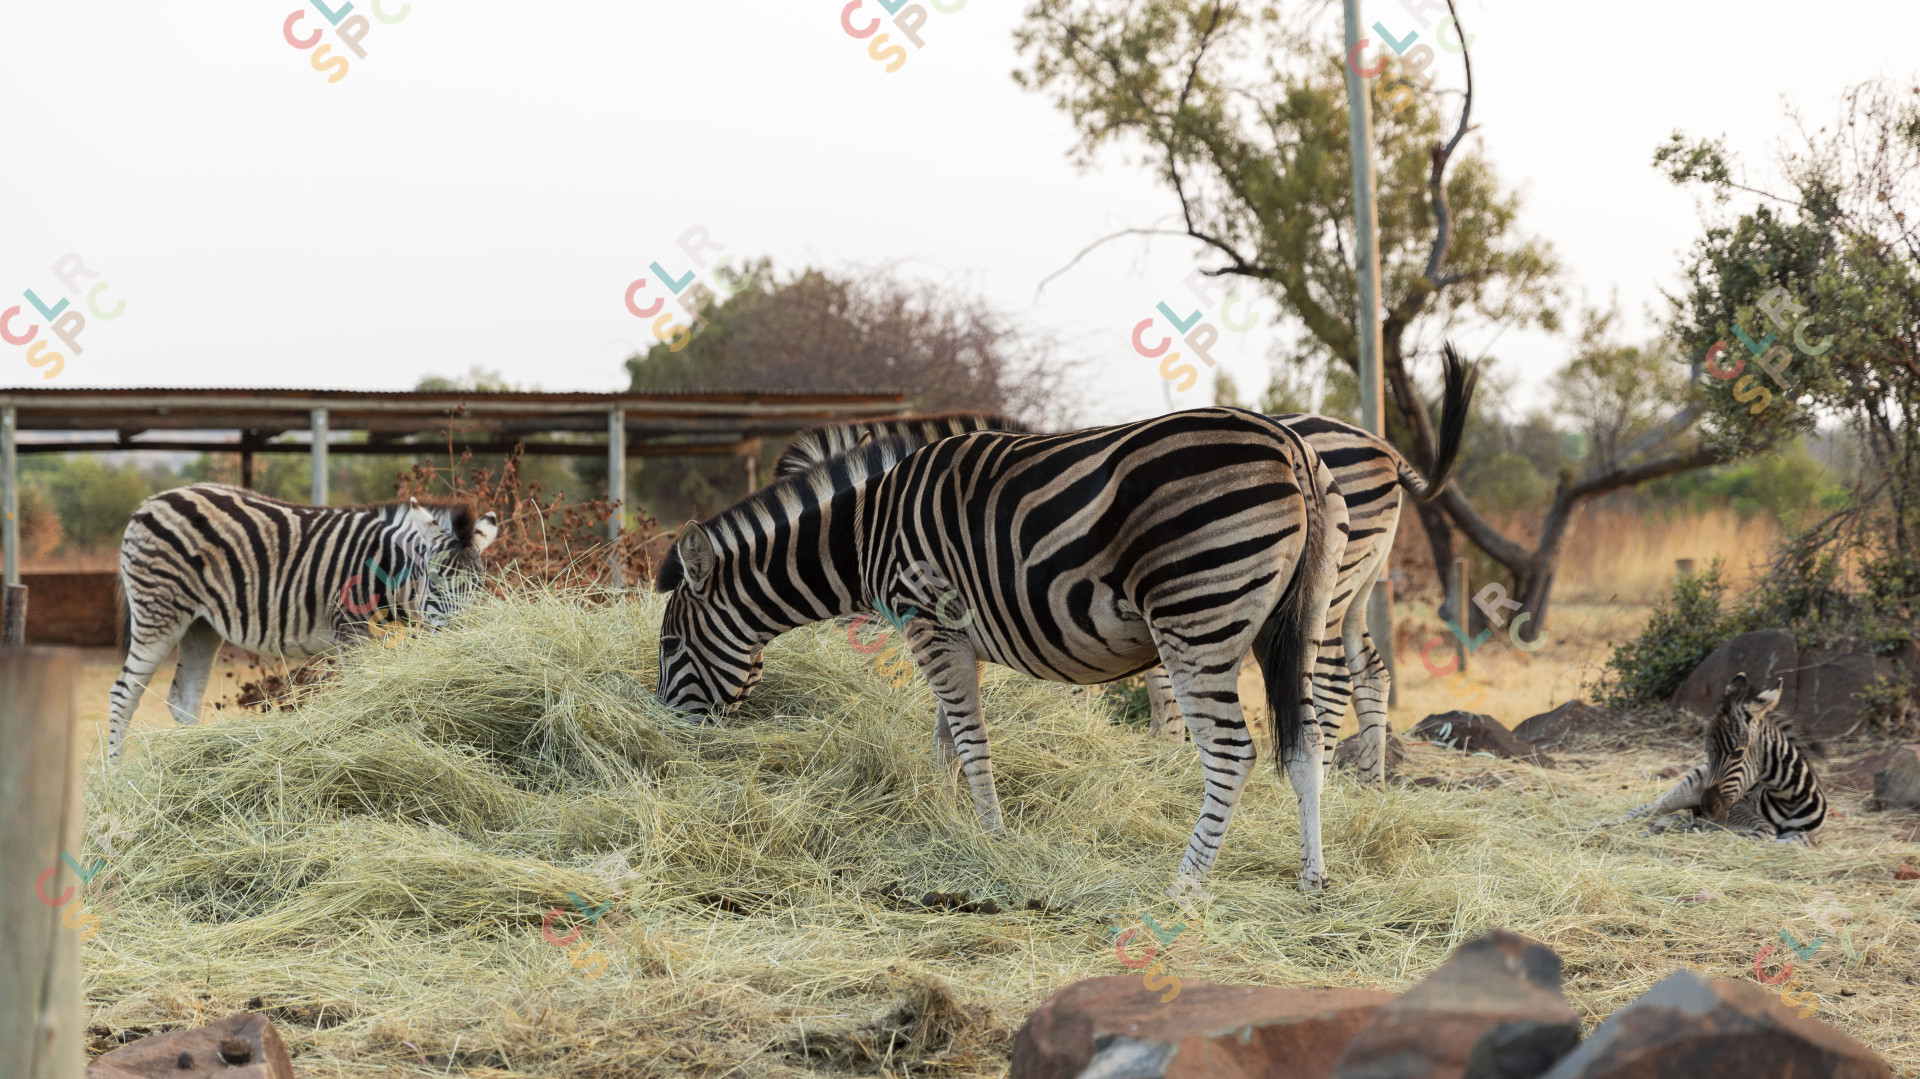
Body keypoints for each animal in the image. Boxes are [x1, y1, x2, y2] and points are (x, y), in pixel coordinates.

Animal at [106, 483, 499, 764]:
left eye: (479, 586)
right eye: (436, 580)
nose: (466, 640)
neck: (384, 569)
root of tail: (149, 503)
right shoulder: (349, 630)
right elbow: (359, 692)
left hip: (199, 625)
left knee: (183, 699)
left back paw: (192, 761)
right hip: (159, 612)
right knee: (123, 694)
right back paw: (114, 778)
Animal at [655, 407, 1350, 891]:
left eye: (670, 645)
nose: (664, 730)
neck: (864, 530)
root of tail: (1290, 446)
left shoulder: (929, 620)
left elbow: (969, 739)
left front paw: (990, 837)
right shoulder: (949, 635)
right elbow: (945, 740)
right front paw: (942, 821)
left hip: (1196, 615)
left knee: (1233, 753)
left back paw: (1184, 884)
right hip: (1300, 620)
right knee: (1308, 742)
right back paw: (1312, 878)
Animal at [768, 349, 1476, 789]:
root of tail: (1381, 445)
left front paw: (1150, 752)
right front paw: (1159, 752)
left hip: (1324, 585)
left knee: (1328, 679)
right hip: (1353, 586)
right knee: (1371, 673)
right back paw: (1370, 783)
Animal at [1622, 673, 1827, 843]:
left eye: (1738, 753)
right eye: (1709, 752)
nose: (1708, 807)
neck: (1788, 801)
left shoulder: (1809, 834)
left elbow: (1804, 840)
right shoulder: (1737, 808)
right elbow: (1766, 830)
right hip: (1688, 788)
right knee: (1650, 807)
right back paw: (1617, 823)